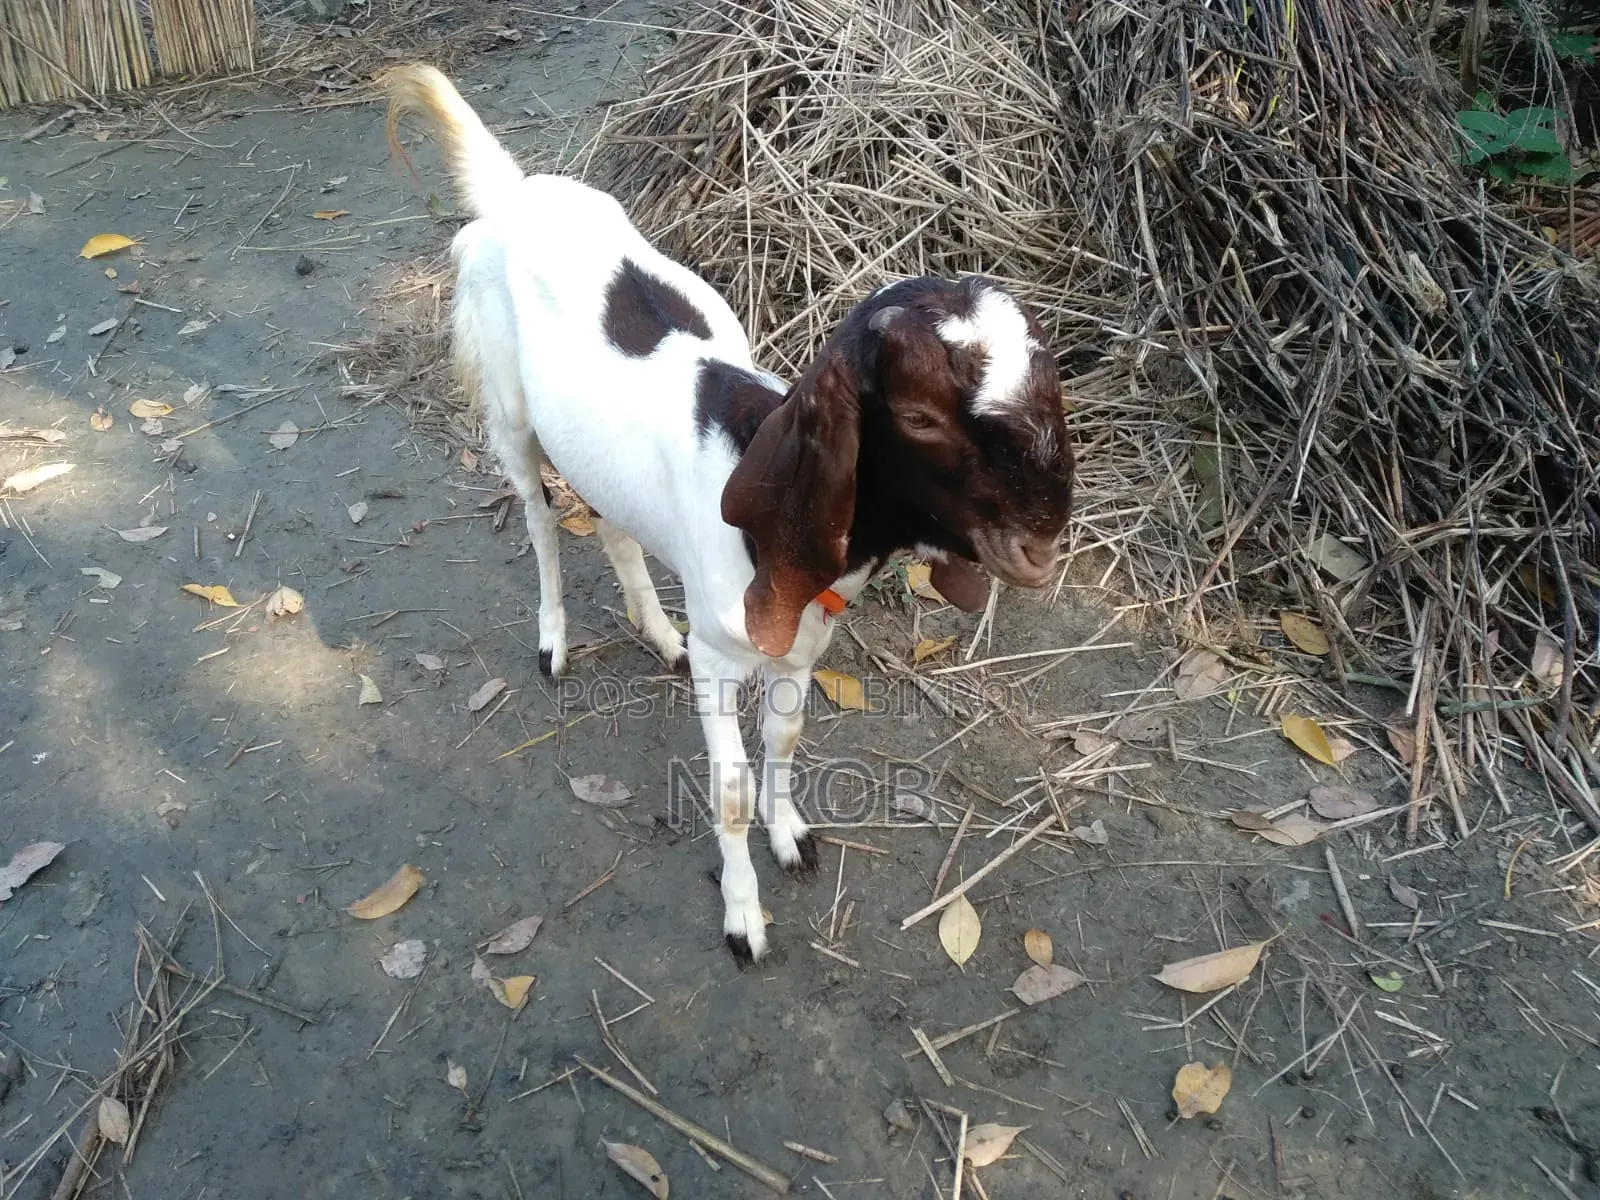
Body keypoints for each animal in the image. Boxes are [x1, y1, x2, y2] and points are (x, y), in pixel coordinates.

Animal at [383, 64, 1075, 963]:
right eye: (919, 415)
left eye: (1050, 384)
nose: (1044, 541)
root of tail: (516, 194)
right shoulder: (723, 657)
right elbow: (733, 787)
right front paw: (744, 917)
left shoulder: (802, 644)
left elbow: (784, 739)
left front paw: (791, 835)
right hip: (509, 410)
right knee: (539, 518)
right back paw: (553, 641)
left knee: (612, 522)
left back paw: (655, 630)